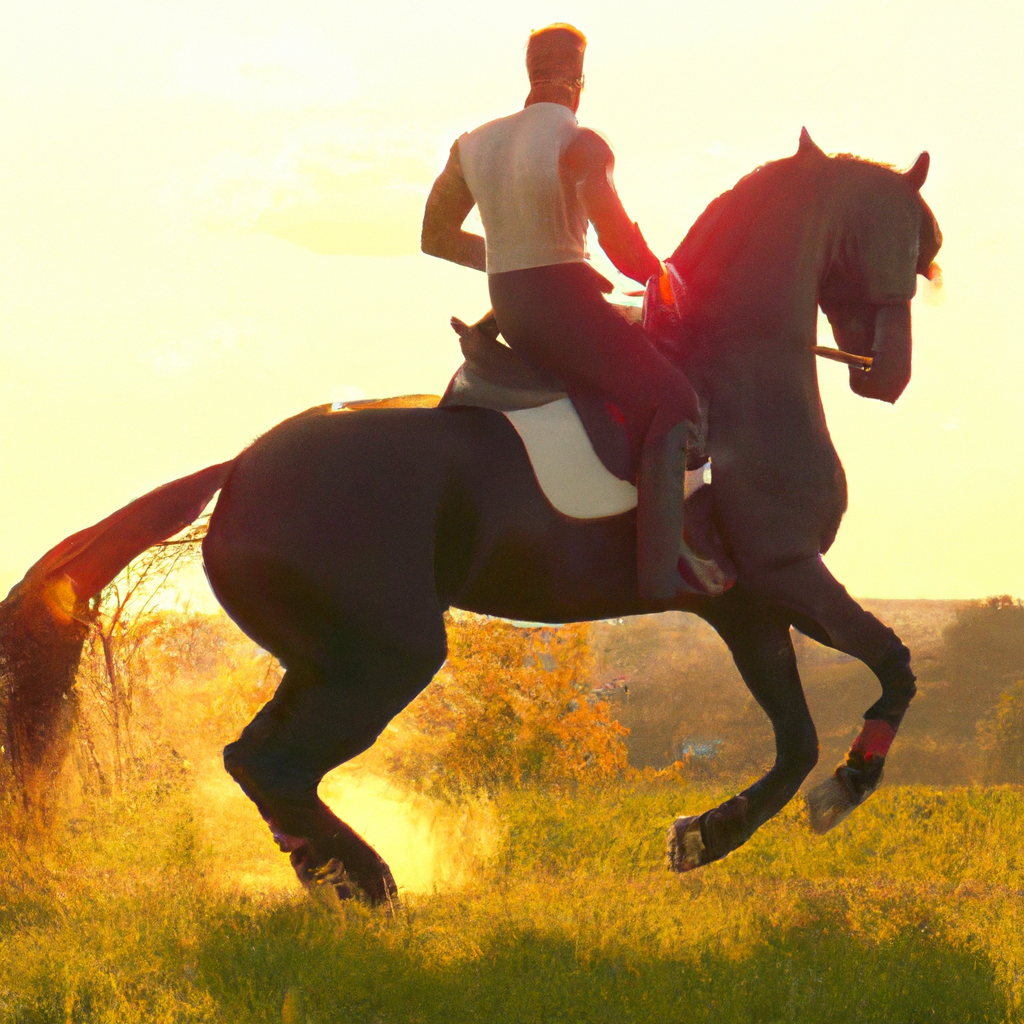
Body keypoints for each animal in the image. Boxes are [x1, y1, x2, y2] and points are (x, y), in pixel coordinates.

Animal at [0, 128, 942, 905]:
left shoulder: (746, 604)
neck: (737, 372)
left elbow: (795, 739)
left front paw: (706, 836)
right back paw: (364, 881)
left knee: (258, 759)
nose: (891, 375)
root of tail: (240, 471)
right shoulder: (790, 573)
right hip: (389, 652)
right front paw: (844, 792)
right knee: (275, 761)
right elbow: (892, 666)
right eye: (911, 240)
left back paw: (332, 874)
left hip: (327, 656)